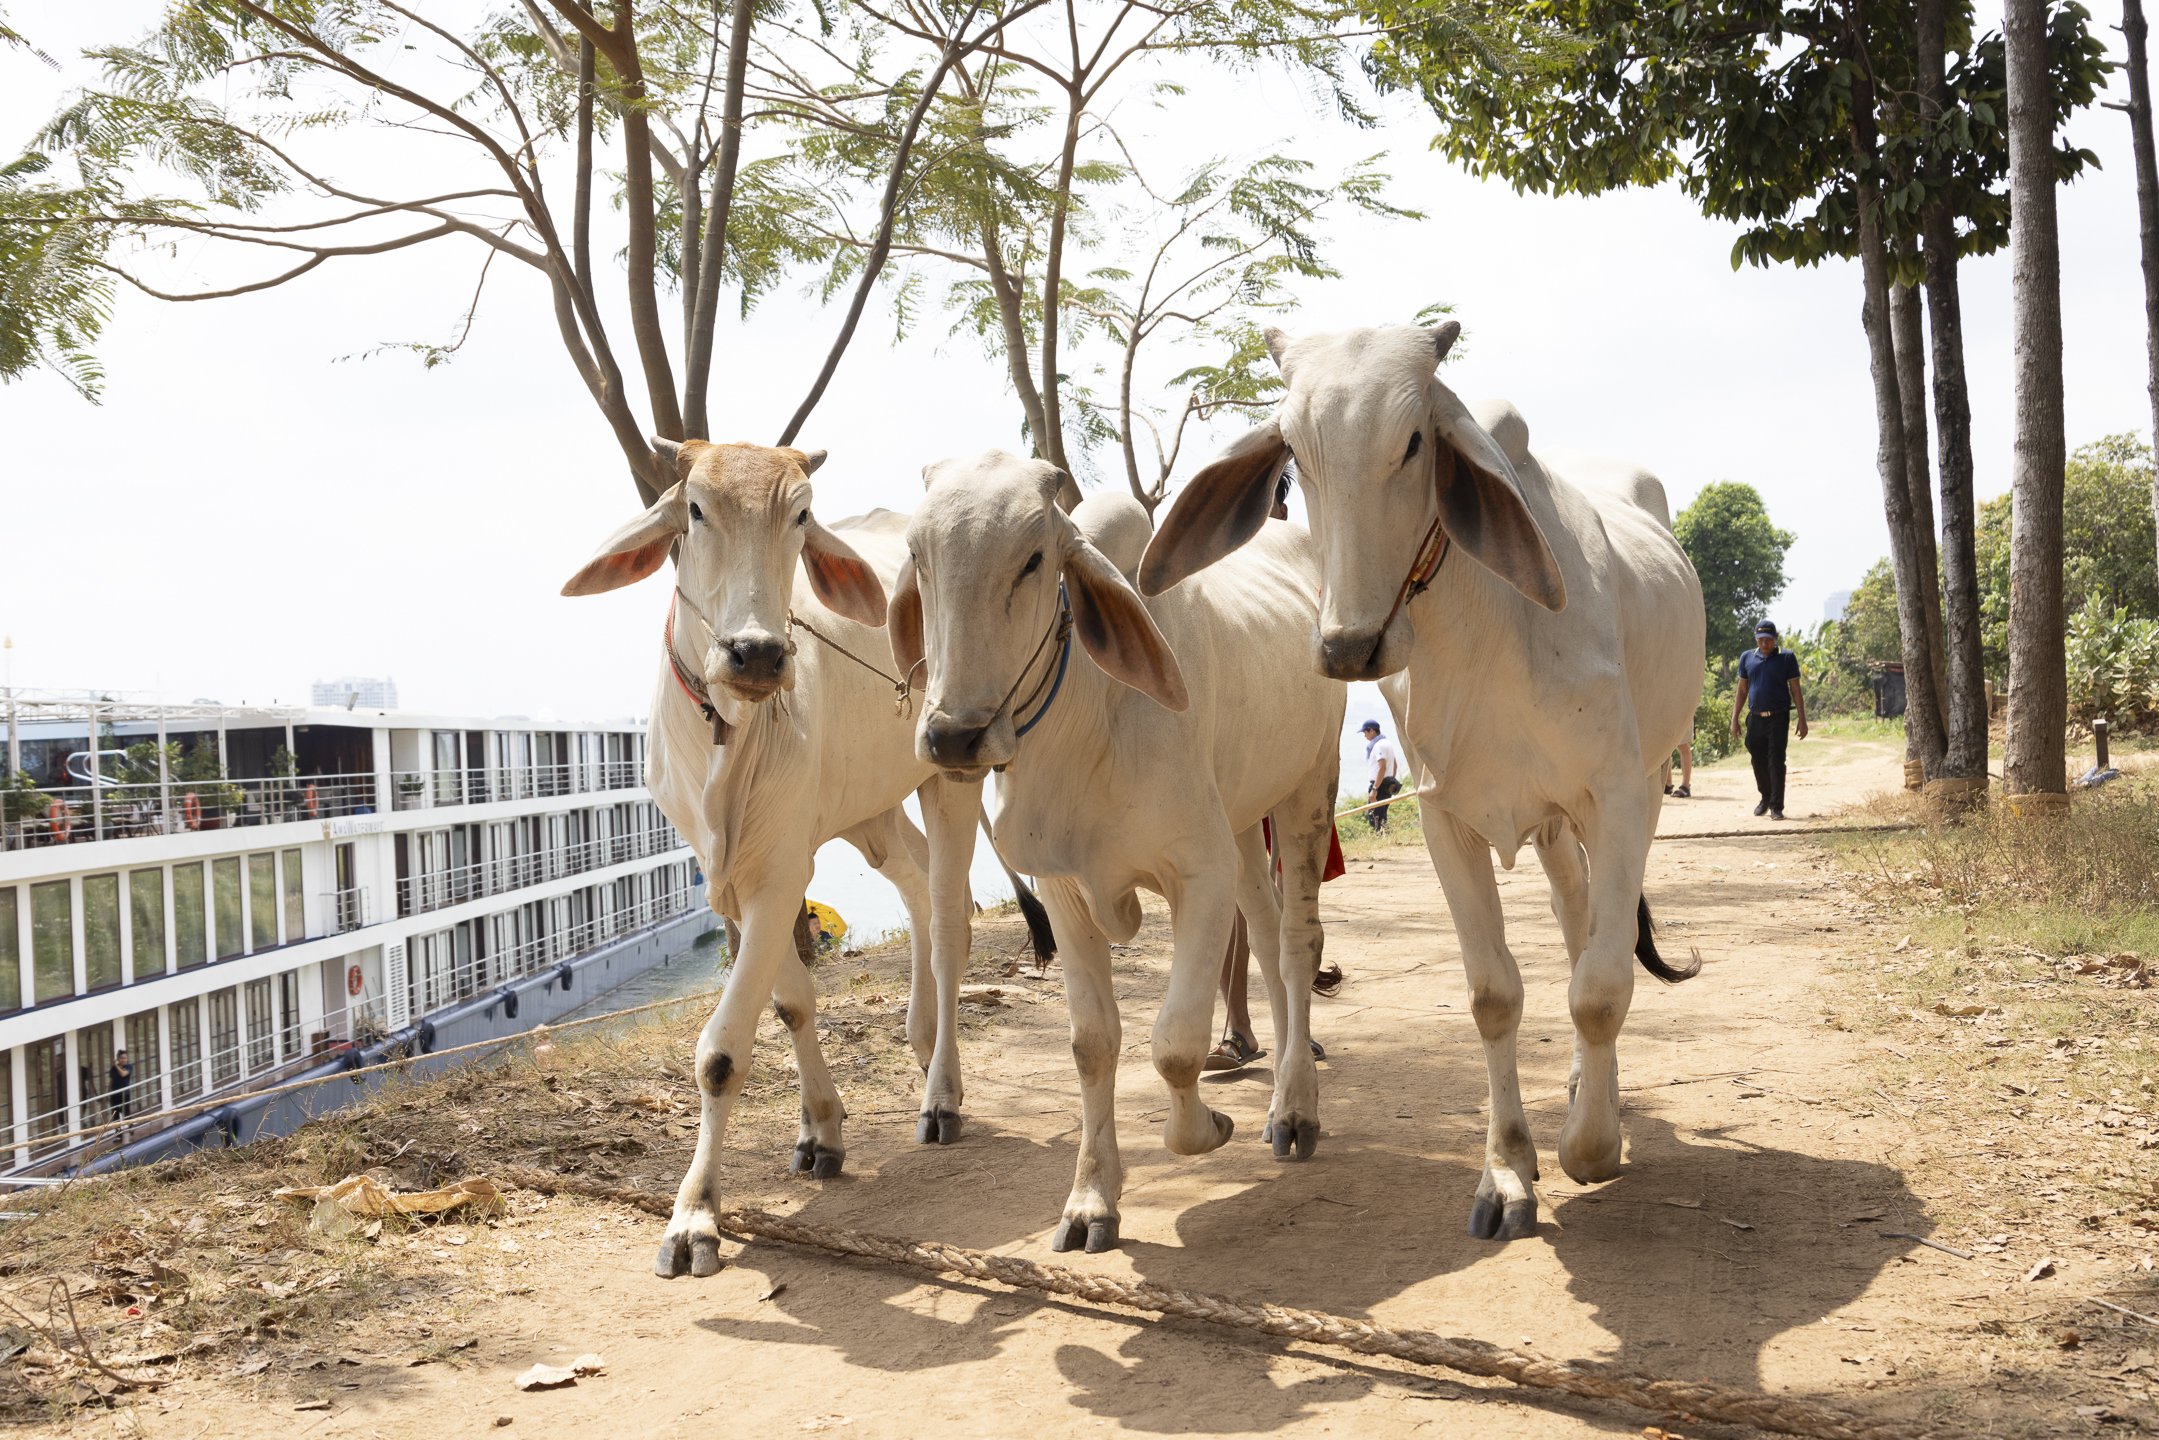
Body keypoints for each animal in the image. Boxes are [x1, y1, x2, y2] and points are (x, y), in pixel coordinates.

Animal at [565, 436, 988, 1269]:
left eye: (800, 515)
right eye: (696, 508)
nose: (756, 654)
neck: (727, 728)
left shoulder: (779, 868)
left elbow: (722, 1054)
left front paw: (693, 1217)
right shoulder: (729, 870)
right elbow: (791, 1002)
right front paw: (819, 1128)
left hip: (951, 771)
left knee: (950, 923)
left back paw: (942, 1093)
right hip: (873, 810)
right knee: (916, 885)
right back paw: (923, 1041)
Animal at [885, 455, 1338, 1252]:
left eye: (1035, 558)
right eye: (918, 554)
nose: (952, 737)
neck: (1091, 718)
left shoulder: (1198, 872)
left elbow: (1175, 1044)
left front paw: (1208, 1125)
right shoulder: (1065, 889)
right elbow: (1093, 1044)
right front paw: (1091, 1200)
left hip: (1306, 790)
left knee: (1295, 942)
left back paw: (1294, 1109)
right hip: (1243, 823)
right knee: (1265, 929)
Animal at [1148, 323, 1701, 1243]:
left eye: (1413, 442)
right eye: (1293, 453)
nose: (1346, 647)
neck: (1492, 631)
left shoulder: (1620, 798)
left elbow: (1599, 989)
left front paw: (1589, 1149)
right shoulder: (1450, 817)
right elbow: (1492, 995)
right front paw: (1507, 1173)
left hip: (1639, 783)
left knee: (1597, 942)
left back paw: (1593, 1098)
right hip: (1549, 827)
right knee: (1571, 917)